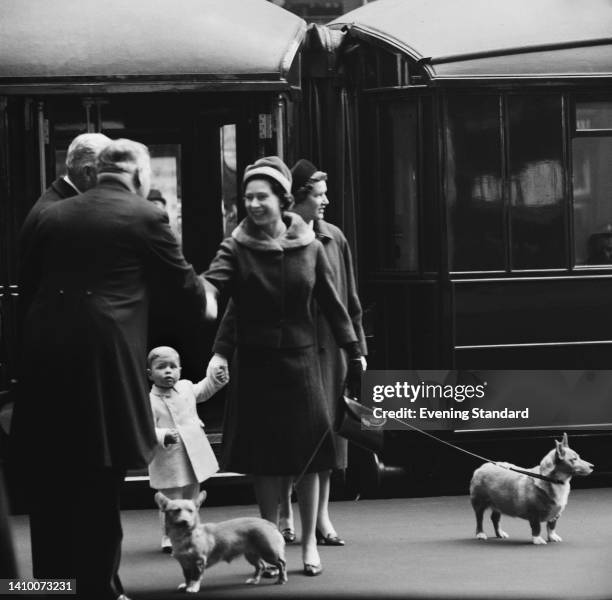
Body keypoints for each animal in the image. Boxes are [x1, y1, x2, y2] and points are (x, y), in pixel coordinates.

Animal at [153, 490, 286, 592]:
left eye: (191, 511)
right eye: (176, 510)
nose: (185, 522)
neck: (184, 535)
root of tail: (269, 523)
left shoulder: (199, 562)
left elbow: (195, 577)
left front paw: (193, 588)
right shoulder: (184, 563)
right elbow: (187, 576)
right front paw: (186, 585)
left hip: (268, 552)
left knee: (281, 563)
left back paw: (281, 580)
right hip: (251, 555)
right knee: (261, 566)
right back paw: (254, 580)